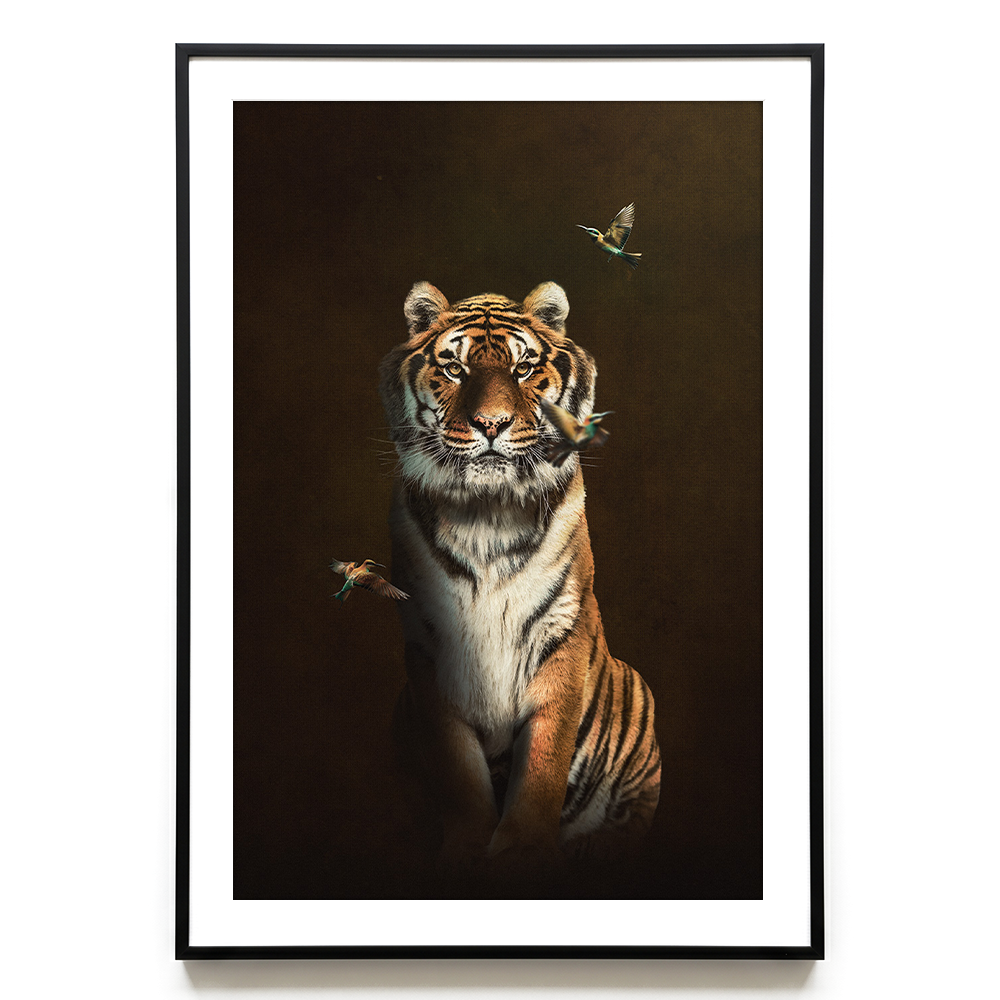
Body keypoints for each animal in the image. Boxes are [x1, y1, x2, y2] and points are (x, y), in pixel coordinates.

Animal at [378, 280, 660, 873]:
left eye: (524, 367)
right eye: (455, 369)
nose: (491, 425)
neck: (487, 516)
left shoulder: (563, 632)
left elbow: (545, 758)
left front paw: (524, 850)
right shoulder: (428, 648)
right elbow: (459, 769)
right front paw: (467, 850)